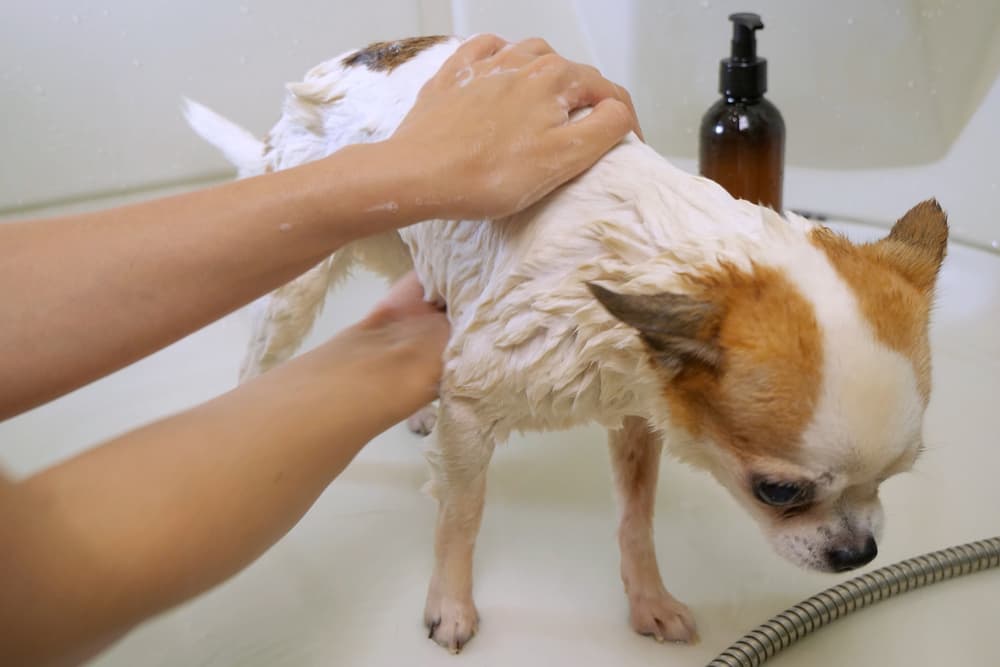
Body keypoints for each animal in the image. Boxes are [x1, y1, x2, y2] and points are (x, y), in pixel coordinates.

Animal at [188, 35, 944, 652]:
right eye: (778, 491)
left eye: (898, 475)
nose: (860, 554)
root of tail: (353, 57)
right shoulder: (473, 405)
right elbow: (461, 515)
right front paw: (450, 605)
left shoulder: (639, 413)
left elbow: (636, 517)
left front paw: (648, 598)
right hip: (296, 271)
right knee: (259, 360)